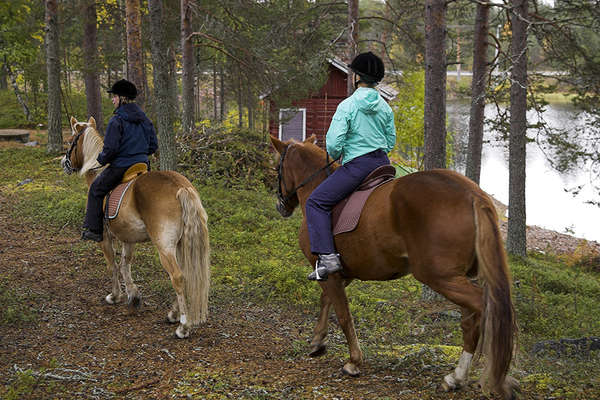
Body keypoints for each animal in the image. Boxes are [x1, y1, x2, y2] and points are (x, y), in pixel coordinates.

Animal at [61, 115, 211, 338]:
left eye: (71, 140)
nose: (64, 163)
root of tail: (181, 187)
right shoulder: (128, 238)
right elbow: (126, 264)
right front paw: (133, 295)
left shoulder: (105, 237)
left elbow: (113, 265)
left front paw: (115, 296)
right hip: (181, 243)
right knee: (186, 274)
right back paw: (173, 314)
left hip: (165, 247)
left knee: (178, 277)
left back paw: (183, 325)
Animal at [274, 135, 520, 400]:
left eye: (277, 167)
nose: (281, 206)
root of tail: (473, 193)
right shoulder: (338, 274)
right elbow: (327, 301)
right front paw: (318, 341)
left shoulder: (328, 271)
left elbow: (342, 314)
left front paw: (353, 361)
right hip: (460, 277)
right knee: (471, 320)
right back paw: (456, 377)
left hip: (441, 277)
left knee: (486, 311)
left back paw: (493, 376)